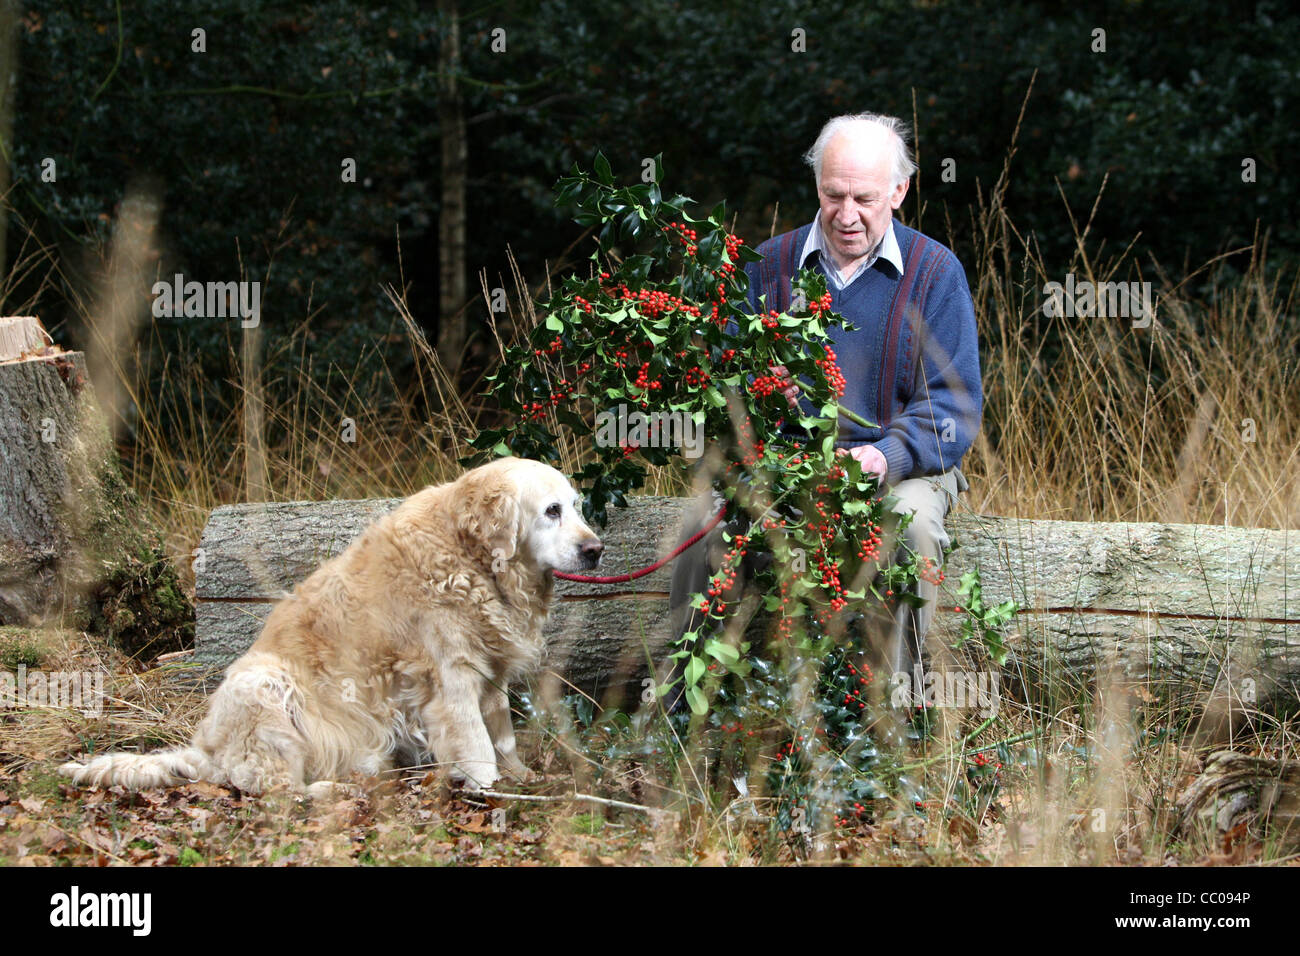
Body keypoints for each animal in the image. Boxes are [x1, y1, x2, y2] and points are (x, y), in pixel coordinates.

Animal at [59, 460, 603, 796]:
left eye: (578, 506)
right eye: (551, 511)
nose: (596, 550)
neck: (473, 560)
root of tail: (207, 751)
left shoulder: (490, 675)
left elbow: (503, 737)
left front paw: (522, 778)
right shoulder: (451, 681)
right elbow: (478, 747)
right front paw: (492, 793)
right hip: (265, 684)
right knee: (270, 786)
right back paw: (331, 790)